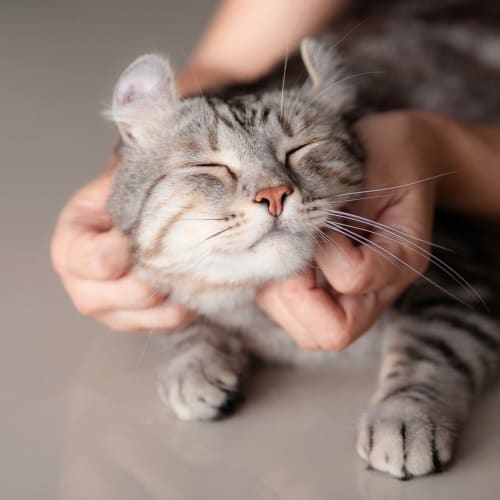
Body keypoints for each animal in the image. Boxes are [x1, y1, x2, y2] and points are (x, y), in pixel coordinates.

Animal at [104, 1, 500, 482]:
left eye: (301, 149)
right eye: (211, 166)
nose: (274, 194)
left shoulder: (466, 279)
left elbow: (430, 351)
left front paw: (404, 418)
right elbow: (180, 321)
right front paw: (195, 364)